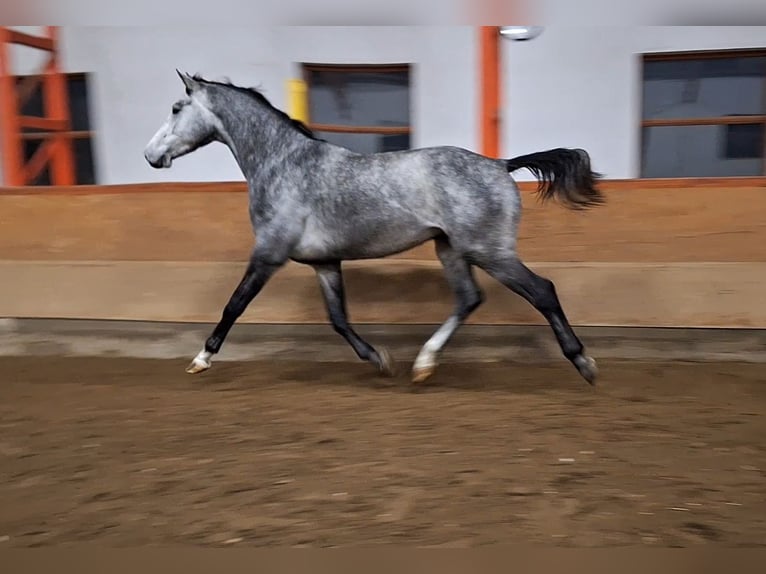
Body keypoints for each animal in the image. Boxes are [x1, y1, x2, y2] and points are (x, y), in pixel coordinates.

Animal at [144, 73, 608, 388]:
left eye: (176, 108)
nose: (150, 155)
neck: (283, 163)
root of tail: (500, 165)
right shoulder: (324, 263)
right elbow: (338, 319)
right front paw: (379, 359)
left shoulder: (268, 255)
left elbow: (234, 305)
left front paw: (201, 358)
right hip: (451, 250)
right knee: (469, 298)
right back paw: (422, 364)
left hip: (490, 252)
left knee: (542, 291)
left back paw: (584, 364)